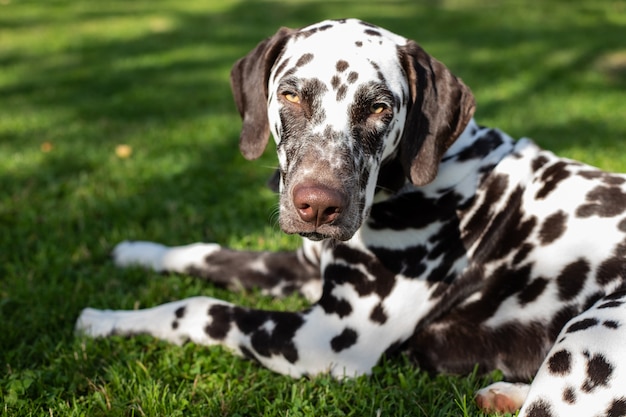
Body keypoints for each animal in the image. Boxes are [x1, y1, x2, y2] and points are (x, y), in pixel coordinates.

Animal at [75, 18, 624, 412]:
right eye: (291, 93)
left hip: (587, 335)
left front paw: (106, 319)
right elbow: (207, 253)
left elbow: (200, 308)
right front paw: (136, 253)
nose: (318, 204)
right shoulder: (299, 268)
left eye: (380, 107)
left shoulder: (323, 339)